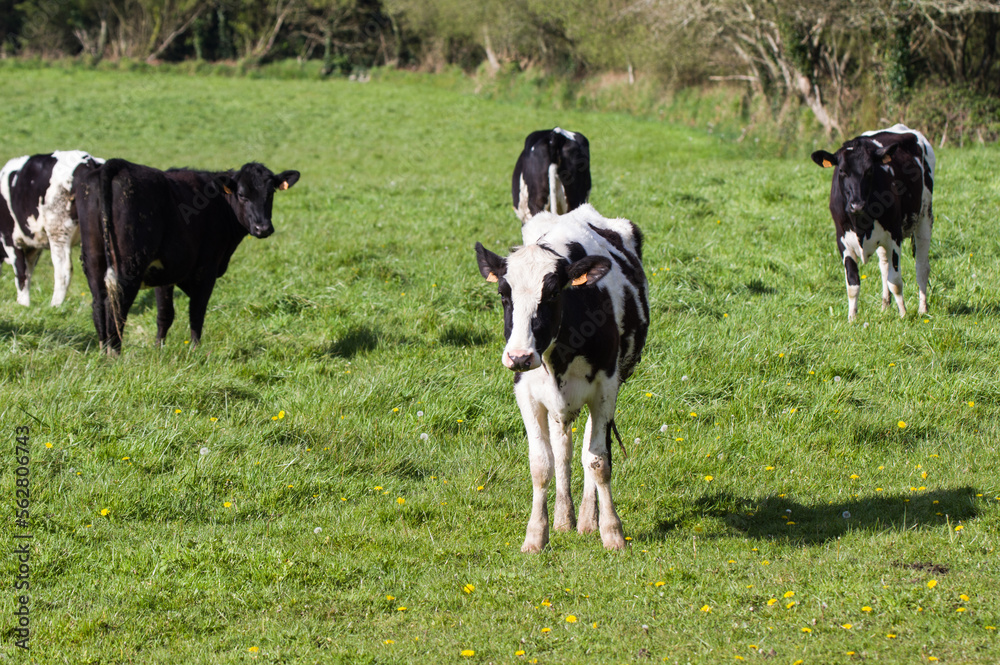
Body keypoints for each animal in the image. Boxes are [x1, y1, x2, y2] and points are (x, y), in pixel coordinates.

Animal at [0, 149, 105, 304]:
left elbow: (21, 275)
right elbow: (28, 273)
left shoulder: (10, 239)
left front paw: (22, 304)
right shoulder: (32, 248)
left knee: (63, 270)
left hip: (58, 229)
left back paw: (55, 305)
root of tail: (88, 160)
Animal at [74, 159, 296, 356]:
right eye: (242, 194)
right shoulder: (206, 269)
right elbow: (197, 310)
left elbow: (165, 314)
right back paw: (115, 355)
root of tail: (119, 165)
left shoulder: (165, 272)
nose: (263, 228)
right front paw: (195, 351)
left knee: (99, 304)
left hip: (94, 261)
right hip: (129, 266)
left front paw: (158, 349)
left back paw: (103, 352)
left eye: (271, 193)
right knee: (116, 306)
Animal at [476, 205, 648, 552]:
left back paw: (586, 520)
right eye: (503, 294)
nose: (519, 356)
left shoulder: (606, 388)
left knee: (586, 449)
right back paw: (563, 518)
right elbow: (542, 464)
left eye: (553, 293)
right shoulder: (526, 393)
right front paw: (535, 535)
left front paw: (612, 532)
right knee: (564, 451)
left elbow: (598, 461)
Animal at [808, 125, 932, 324]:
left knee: (921, 266)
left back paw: (922, 309)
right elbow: (853, 284)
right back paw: (885, 306)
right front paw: (852, 318)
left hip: (925, 215)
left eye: (869, 171)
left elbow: (895, 281)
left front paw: (903, 314)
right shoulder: (842, 240)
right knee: (884, 266)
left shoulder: (894, 235)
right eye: (842, 171)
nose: (856, 204)